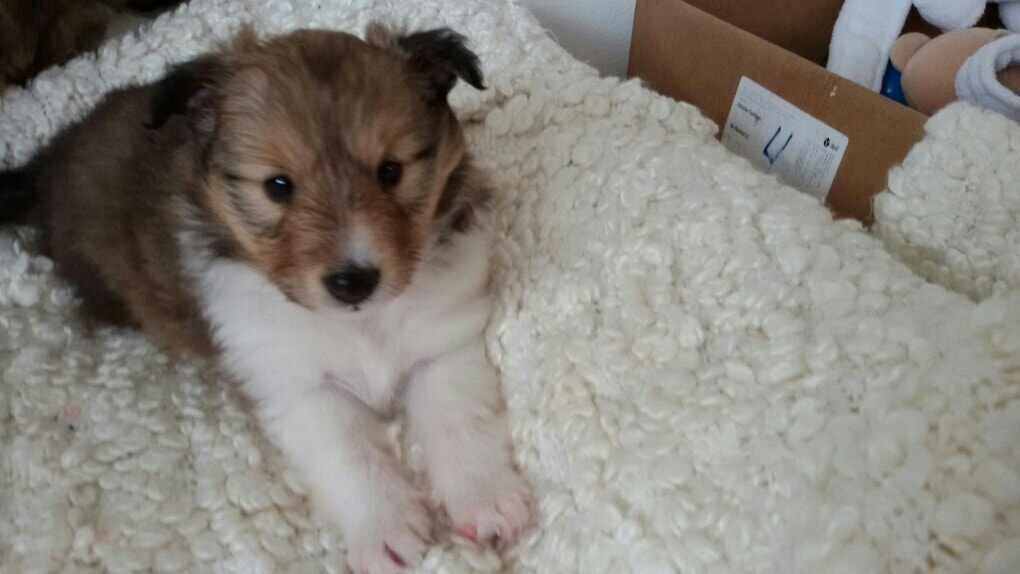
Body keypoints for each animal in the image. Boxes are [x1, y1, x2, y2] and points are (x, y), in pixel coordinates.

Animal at [0, 24, 531, 573]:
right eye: (278, 186)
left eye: (390, 171)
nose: (353, 281)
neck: (358, 325)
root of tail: (46, 164)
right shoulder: (298, 388)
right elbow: (352, 455)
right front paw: (386, 530)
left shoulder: (439, 345)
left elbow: (458, 420)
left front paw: (484, 500)